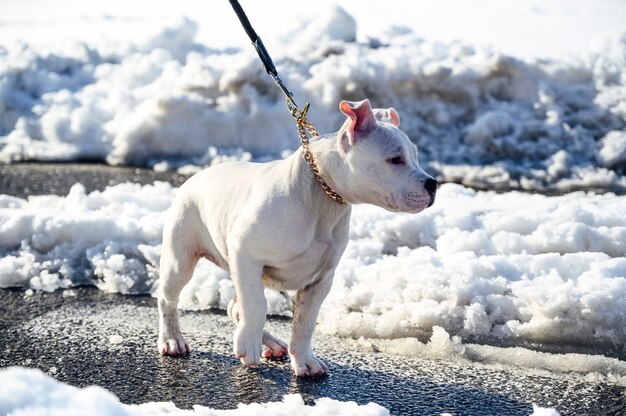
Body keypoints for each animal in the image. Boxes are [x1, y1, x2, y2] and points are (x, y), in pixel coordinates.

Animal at [158, 100, 436, 376]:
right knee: (168, 298)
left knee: (235, 307)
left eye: (415, 156)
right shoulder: (246, 254)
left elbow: (305, 322)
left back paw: (270, 343)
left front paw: (304, 361)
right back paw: (172, 340)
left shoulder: (320, 280)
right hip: (181, 259)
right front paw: (248, 345)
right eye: (395, 159)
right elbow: (256, 306)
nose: (433, 184)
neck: (323, 196)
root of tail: (196, 177)